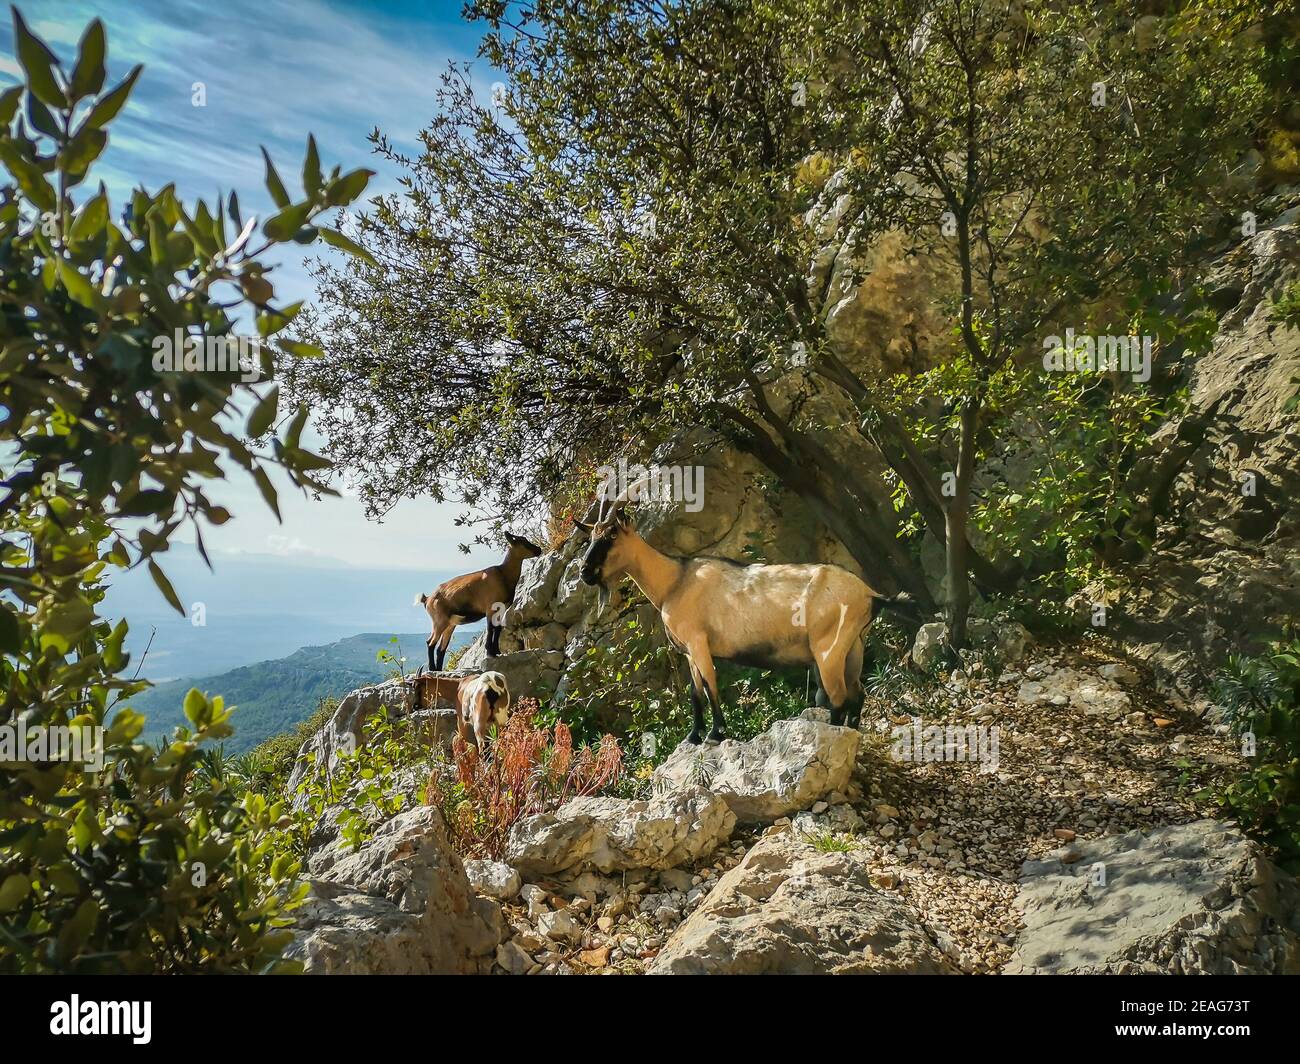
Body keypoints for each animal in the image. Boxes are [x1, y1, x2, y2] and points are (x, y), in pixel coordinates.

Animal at [417, 532, 543, 671]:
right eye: (523, 542)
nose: (539, 549)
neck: (503, 574)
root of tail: (428, 599)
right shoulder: (490, 607)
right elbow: (491, 628)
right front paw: (490, 652)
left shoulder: (502, 608)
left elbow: (498, 629)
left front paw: (497, 651)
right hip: (439, 620)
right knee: (430, 642)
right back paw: (432, 668)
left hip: (450, 624)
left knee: (440, 648)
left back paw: (438, 670)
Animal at [575, 502, 914, 743]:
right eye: (591, 537)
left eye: (612, 535)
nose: (585, 572)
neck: (674, 581)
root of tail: (870, 594)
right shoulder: (688, 652)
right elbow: (695, 692)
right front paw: (693, 736)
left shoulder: (699, 642)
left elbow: (710, 686)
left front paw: (715, 734)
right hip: (854, 646)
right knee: (857, 694)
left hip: (828, 649)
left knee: (839, 698)